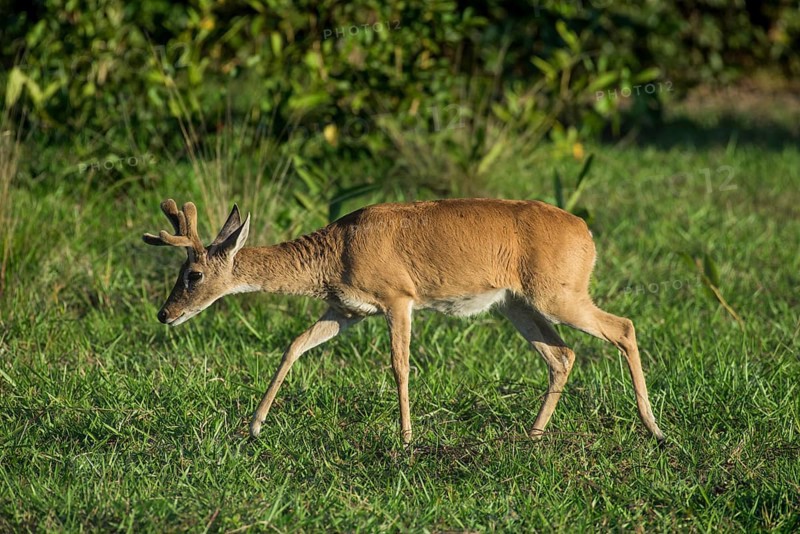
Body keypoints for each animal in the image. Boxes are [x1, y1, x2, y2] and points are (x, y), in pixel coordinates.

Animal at [143, 198, 665, 445]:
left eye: (193, 274)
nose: (165, 314)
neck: (337, 251)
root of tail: (587, 233)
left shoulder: (398, 298)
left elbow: (400, 366)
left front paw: (407, 439)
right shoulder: (346, 310)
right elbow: (295, 344)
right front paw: (253, 427)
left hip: (558, 295)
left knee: (623, 327)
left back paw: (654, 429)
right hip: (518, 304)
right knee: (563, 355)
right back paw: (531, 436)